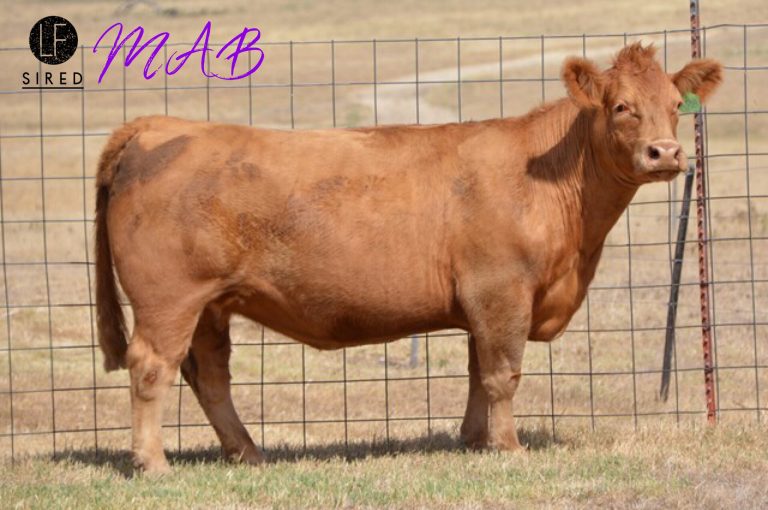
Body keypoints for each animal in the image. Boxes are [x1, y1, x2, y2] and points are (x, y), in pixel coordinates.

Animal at [94, 43, 721, 474]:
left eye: (675, 105)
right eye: (621, 107)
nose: (666, 153)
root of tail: (158, 125)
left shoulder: (483, 301)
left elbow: (477, 373)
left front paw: (474, 441)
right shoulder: (502, 290)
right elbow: (503, 374)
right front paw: (509, 447)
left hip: (211, 305)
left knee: (209, 376)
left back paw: (247, 453)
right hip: (170, 298)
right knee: (151, 366)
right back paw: (152, 463)